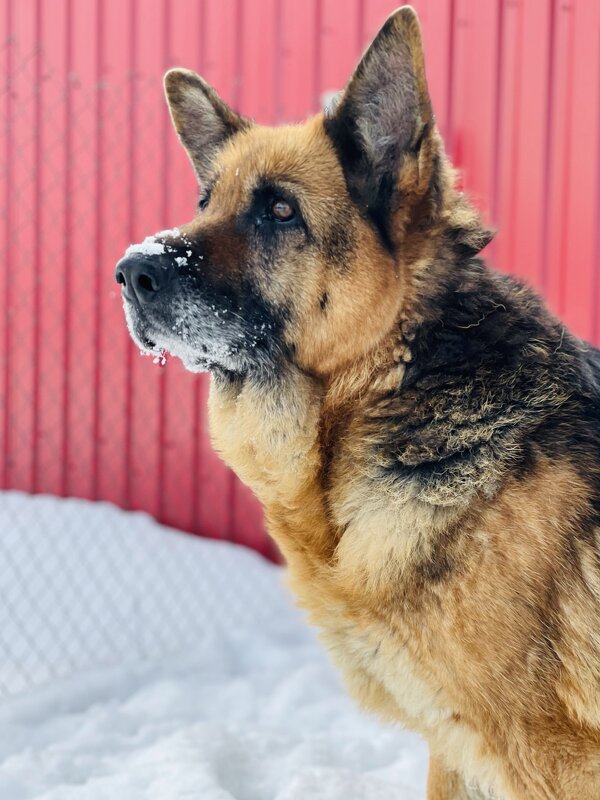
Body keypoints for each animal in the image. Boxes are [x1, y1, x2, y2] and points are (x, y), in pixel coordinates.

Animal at [116, 7, 600, 800]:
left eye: (280, 211)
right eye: (204, 202)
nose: (128, 272)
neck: (389, 386)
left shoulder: (546, 757)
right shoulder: (458, 747)